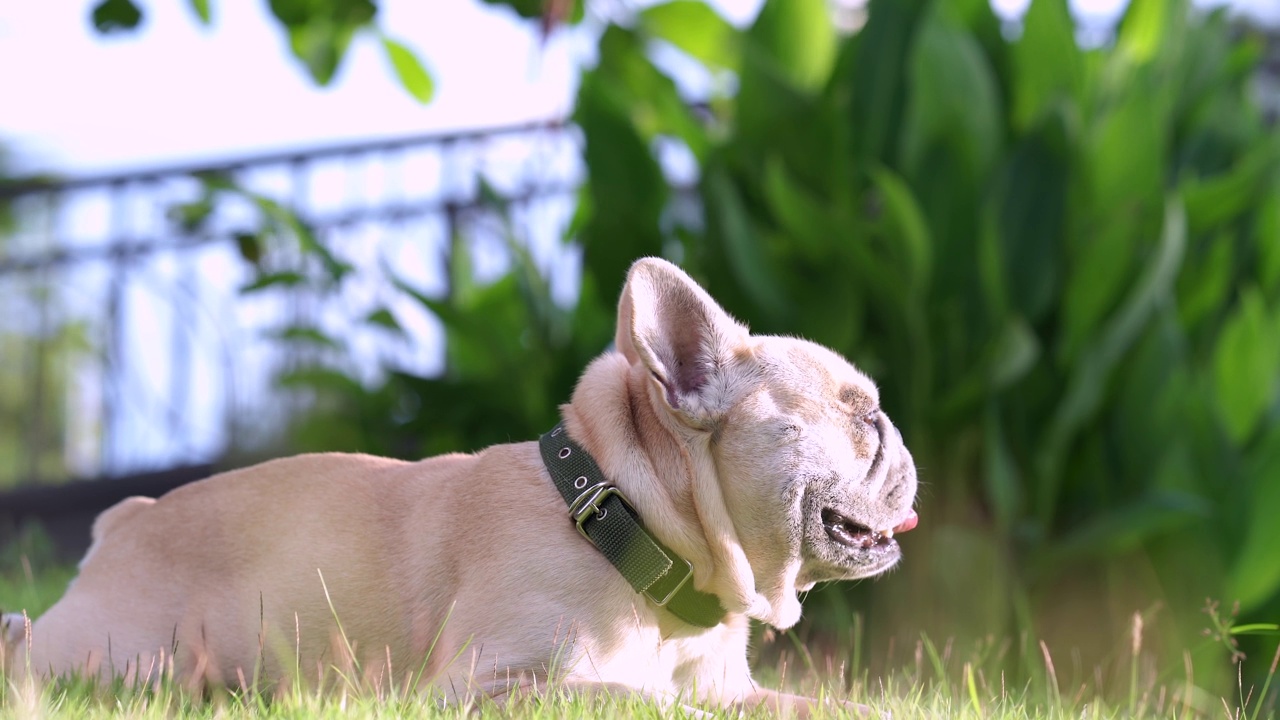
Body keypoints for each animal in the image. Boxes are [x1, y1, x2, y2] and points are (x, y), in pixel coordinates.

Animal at [5, 257, 916, 712]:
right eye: (866, 416)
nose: (902, 445)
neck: (637, 525)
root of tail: (124, 520)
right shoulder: (503, 684)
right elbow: (647, 703)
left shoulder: (741, 689)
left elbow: (825, 707)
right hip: (121, 658)